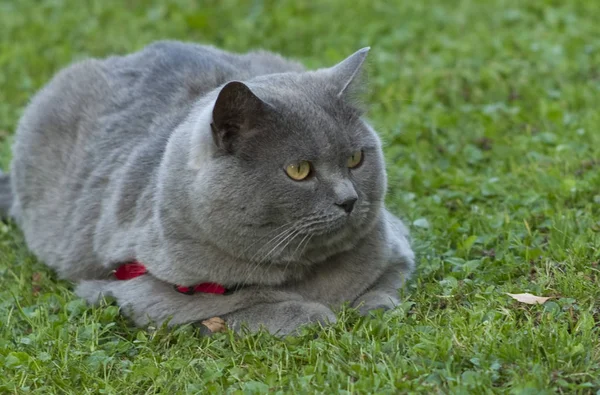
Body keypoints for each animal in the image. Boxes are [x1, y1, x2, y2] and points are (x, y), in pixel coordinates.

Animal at [0, 41, 414, 336]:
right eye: (299, 170)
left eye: (356, 159)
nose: (350, 199)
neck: (306, 275)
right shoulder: (141, 292)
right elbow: (238, 311)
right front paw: (313, 315)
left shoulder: (399, 249)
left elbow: (385, 286)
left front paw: (370, 308)